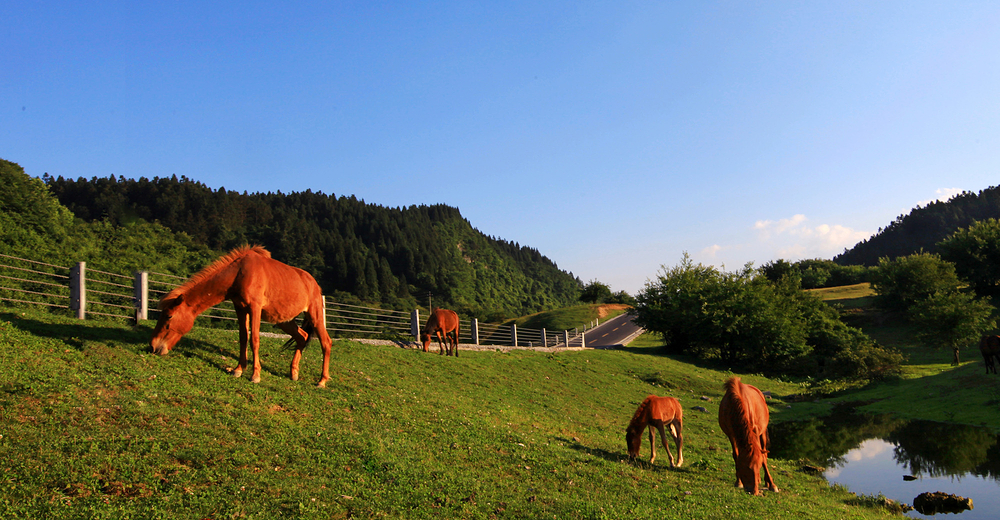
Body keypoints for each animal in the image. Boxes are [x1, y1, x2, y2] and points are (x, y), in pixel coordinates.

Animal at [150, 246, 334, 388]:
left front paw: (255, 375)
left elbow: (254, 340)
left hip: (315, 315)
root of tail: (314, 284)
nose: (153, 346)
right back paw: (294, 373)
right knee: (302, 337)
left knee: (326, 342)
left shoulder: (255, 308)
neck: (239, 273)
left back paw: (322, 381)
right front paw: (238, 369)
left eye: (169, 316)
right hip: (285, 321)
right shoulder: (240, 308)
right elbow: (243, 338)